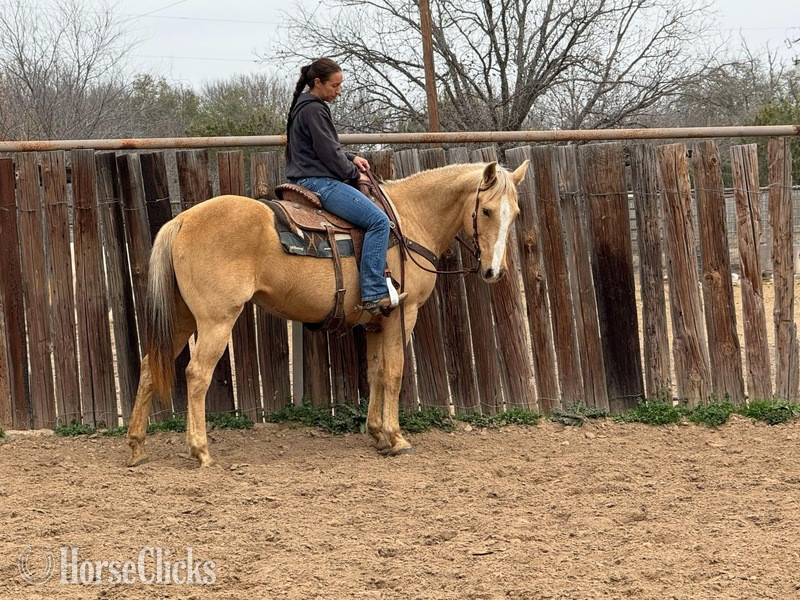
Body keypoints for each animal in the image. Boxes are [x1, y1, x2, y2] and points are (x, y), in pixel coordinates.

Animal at [126, 159, 529, 467]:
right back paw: (200, 451)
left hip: (181, 318)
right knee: (196, 375)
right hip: (215, 320)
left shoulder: (376, 322)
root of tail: (182, 221)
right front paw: (397, 438)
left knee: (149, 366)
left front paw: (377, 434)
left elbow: (376, 372)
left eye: (515, 214)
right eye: (487, 210)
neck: (409, 221)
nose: (494, 272)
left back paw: (137, 446)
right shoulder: (403, 314)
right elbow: (394, 373)